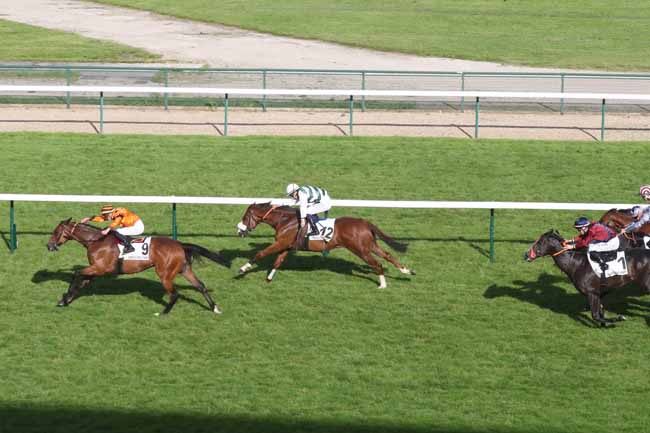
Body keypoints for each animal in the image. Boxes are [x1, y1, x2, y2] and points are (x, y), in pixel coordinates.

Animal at [46, 219, 228, 314]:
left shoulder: (100, 268)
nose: (49, 245)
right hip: (184, 269)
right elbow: (81, 283)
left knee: (175, 294)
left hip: (165, 274)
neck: (96, 241)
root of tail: (179, 244)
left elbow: (76, 274)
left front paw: (64, 298)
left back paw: (163, 313)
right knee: (200, 286)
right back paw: (215, 308)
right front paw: (65, 300)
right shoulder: (96, 270)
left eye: (55, 232)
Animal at [235, 202, 412, 286]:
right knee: (387, 255)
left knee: (377, 264)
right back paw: (406, 270)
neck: (285, 221)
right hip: (370, 245)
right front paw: (269, 279)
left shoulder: (280, 243)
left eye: (245, 216)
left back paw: (382, 285)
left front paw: (243, 269)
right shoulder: (286, 246)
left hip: (361, 249)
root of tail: (365, 223)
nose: (239, 231)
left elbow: (261, 253)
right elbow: (278, 261)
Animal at [520, 230, 650, 324]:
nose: (526, 255)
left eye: (540, 242)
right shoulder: (598, 294)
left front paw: (618, 318)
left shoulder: (591, 292)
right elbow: (599, 313)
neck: (576, 264)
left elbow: (596, 316)